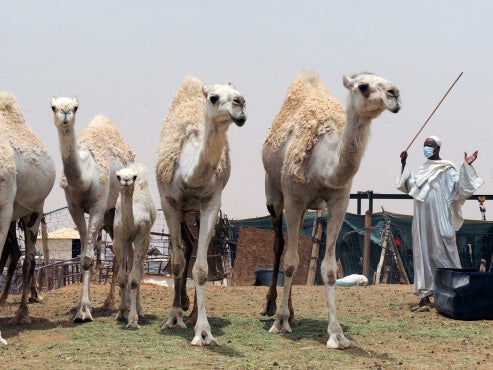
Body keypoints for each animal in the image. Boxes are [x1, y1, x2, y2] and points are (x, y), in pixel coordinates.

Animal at [50, 97, 135, 322]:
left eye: (75, 107)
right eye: (53, 107)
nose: (64, 112)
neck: (85, 179)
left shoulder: (97, 206)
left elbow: (89, 257)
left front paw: (84, 312)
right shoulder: (74, 207)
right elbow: (83, 256)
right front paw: (82, 307)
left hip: (114, 208)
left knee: (122, 254)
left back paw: (118, 305)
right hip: (108, 215)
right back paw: (113, 304)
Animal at [113, 163, 156, 328]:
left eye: (134, 177)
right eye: (118, 176)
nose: (126, 180)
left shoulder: (141, 238)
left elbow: (134, 279)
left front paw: (132, 319)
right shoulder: (120, 238)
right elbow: (122, 278)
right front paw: (121, 313)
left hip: (144, 242)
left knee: (139, 272)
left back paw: (140, 311)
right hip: (128, 244)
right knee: (131, 266)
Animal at [156, 76, 246, 346]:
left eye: (238, 94)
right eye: (214, 98)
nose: (240, 103)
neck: (188, 176)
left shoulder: (210, 203)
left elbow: (202, 269)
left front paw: (204, 332)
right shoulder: (169, 202)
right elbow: (176, 262)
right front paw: (174, 318)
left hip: (195, 213)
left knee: (194, 250)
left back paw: (193, 311)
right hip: (183, 213)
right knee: (184, 249)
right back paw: (183, 307)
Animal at [262, 72, 400, 350]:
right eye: (363, 86)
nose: (395, 94)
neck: (322, 163)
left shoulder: (339, 200)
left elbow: (328, 269)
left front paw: (337, 335)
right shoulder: (294, 199)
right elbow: (291, 262)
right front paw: (280, 322)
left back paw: (292, 311)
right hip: (273, 193)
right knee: (279, 246)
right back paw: (271, 307)